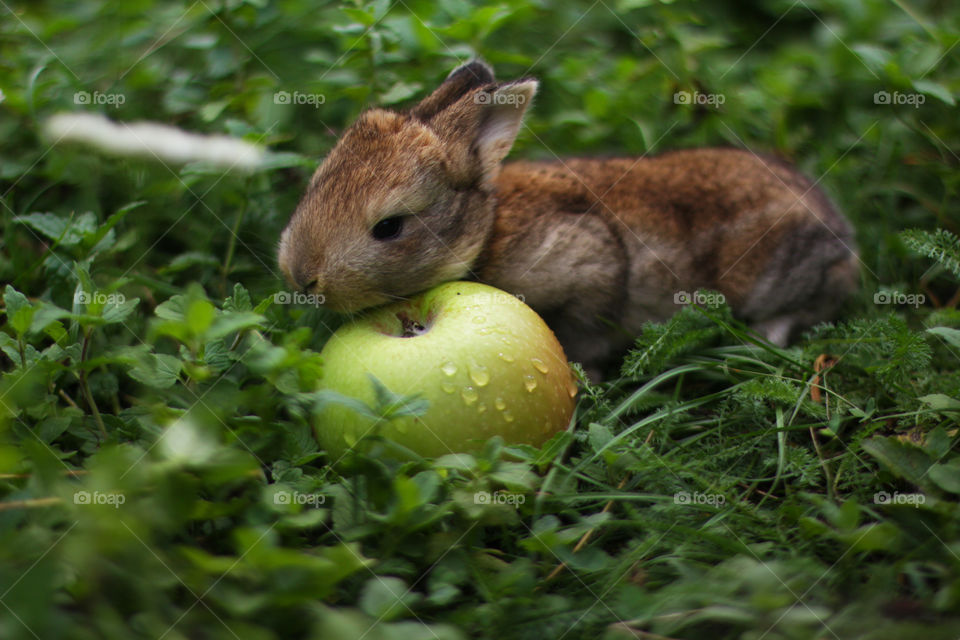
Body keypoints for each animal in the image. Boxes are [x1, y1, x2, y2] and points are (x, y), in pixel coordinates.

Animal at [278, 60, 860, 380]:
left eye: (390, 227)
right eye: (316, 184)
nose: (301, 278)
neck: (485, 232)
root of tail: (840, 232)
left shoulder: (588, 265)